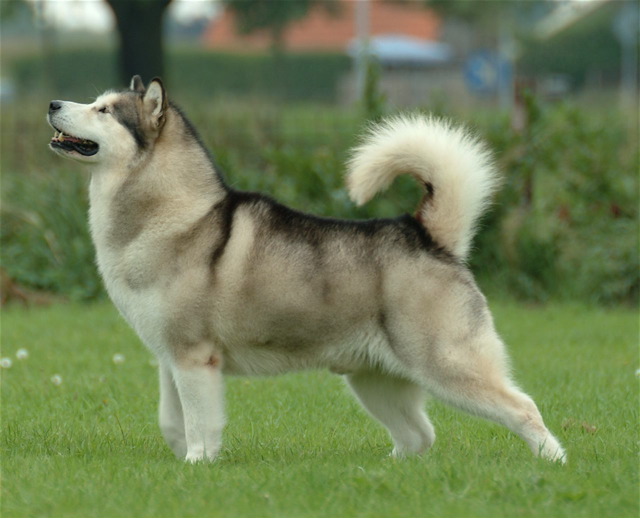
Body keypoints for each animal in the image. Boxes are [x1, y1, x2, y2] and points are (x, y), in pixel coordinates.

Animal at [46, 74, 564, 464]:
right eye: (93, 102)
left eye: (104, 111)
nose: (52, 103)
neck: (173, 214)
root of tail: (426, 234)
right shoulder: (170, 357)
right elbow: (172, 420)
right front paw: (188, 458)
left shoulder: (195, 357)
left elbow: (198, 421)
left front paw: (198, 464)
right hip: (375, 379)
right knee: (420, 436)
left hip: (447, 363)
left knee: (525, 408)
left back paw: (552, 462)